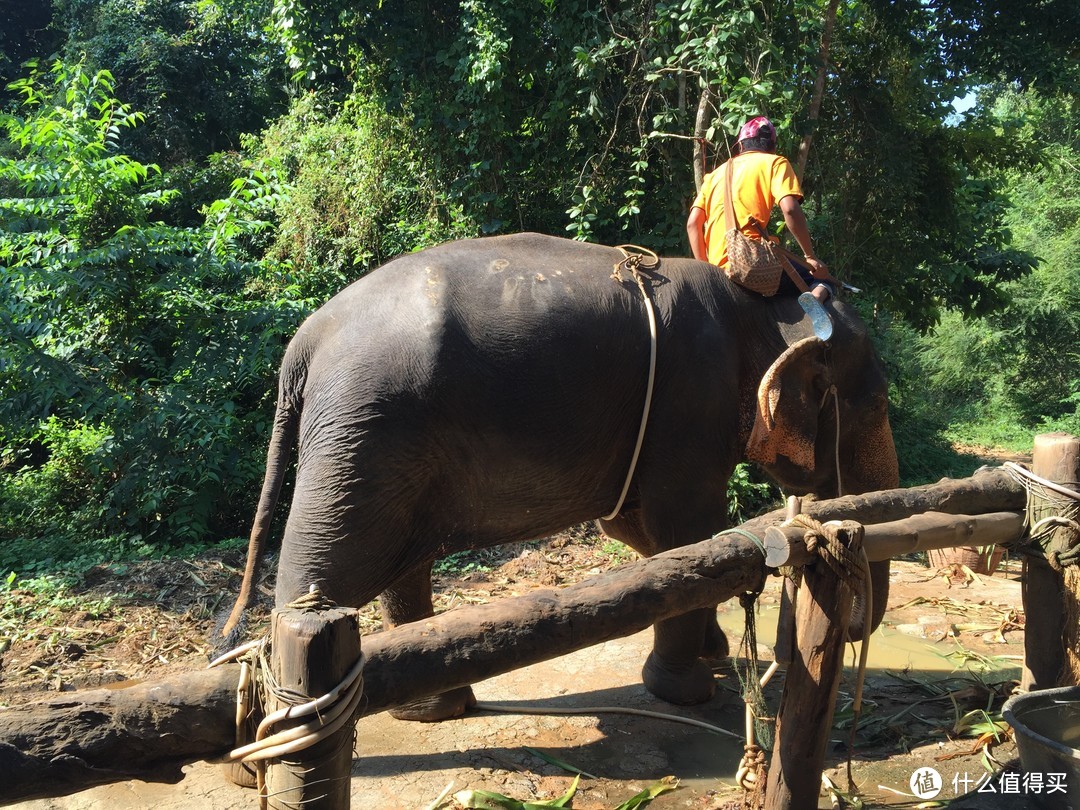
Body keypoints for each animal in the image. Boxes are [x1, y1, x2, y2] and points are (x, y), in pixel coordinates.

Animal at [217, 233, 894, 721]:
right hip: (367, 426)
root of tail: (303, 342)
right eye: (874, 406)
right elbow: (683, 528)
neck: (764, 310)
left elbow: (644, 531)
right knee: (327, 566)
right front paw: (688, 692)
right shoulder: (691, 401)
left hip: (381, 438)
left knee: (402, 563)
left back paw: (432, 710)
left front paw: (717, 654)